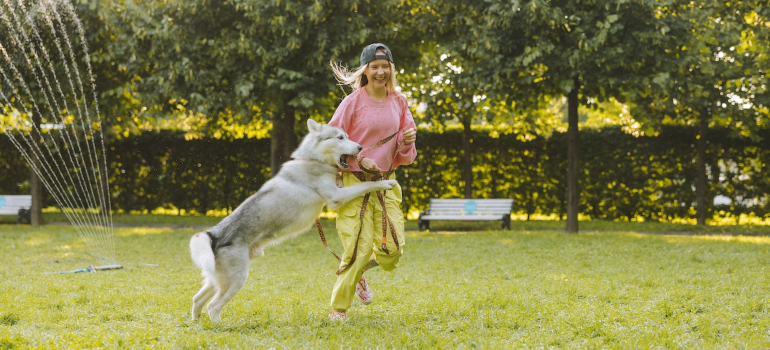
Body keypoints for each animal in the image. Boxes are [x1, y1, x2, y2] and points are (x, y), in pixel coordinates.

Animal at [189, 119, 396, 322]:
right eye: (339, 138)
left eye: (347, 136)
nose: (360, 147)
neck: (313, 159)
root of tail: (213, 234)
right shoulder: (336, 197)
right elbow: (366, 185)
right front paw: (384, 182)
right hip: (236, 279)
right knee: (213, 306)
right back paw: (218, 325)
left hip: (217, 279)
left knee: (197, 298)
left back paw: (196, 322)